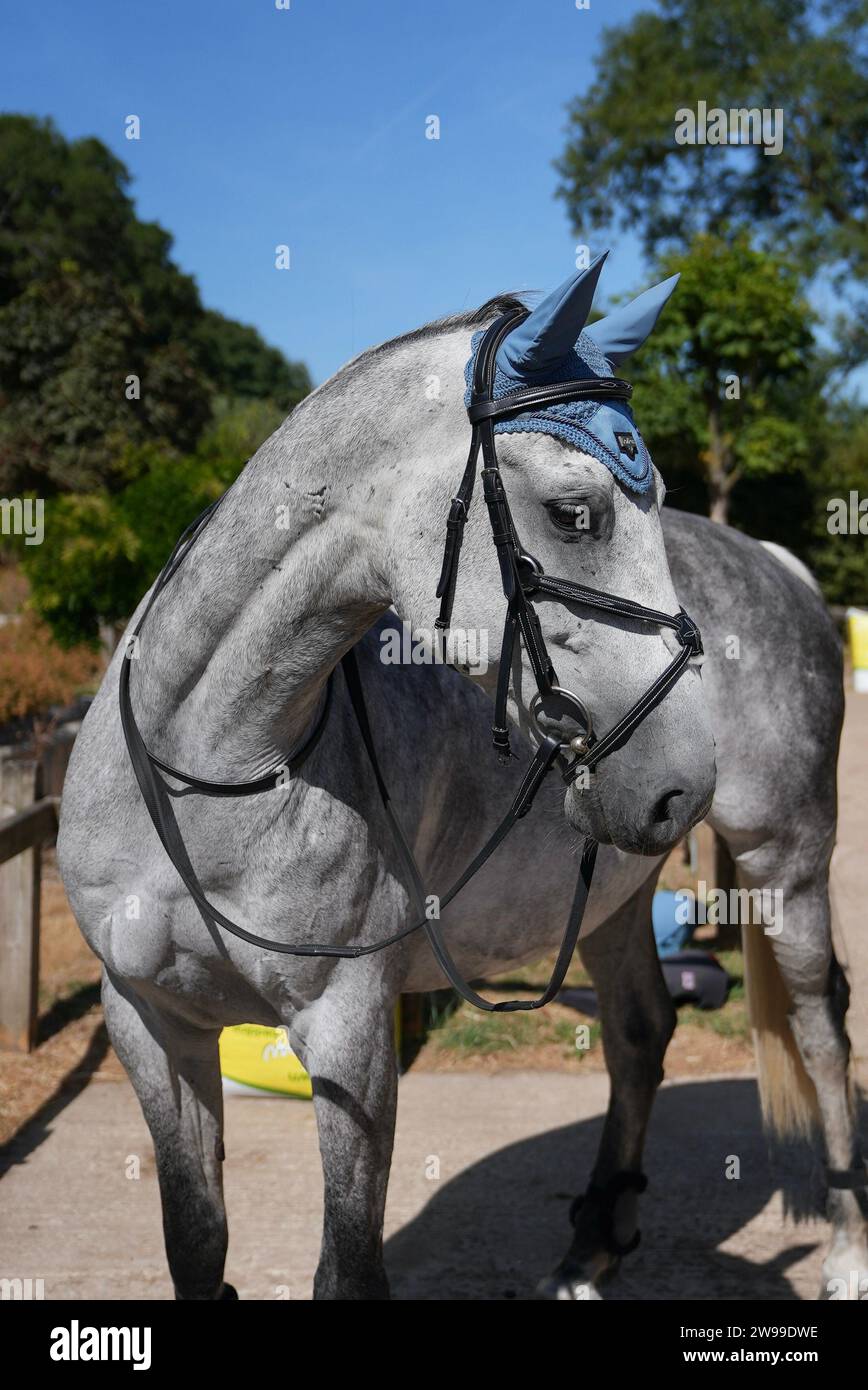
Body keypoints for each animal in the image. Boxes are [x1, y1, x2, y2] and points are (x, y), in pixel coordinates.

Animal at [57, 260, 864, 1299]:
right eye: (574, 513)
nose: (685, 778)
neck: (210, 770)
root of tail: (776, 563)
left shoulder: (347, 1036)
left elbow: (347, 1269)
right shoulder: (151, 1026)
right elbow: (195, 1247)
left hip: (784, 864)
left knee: (820, 1022)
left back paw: (846, 1247)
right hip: (612, 891)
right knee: (640, 1031)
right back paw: (592, 1245)